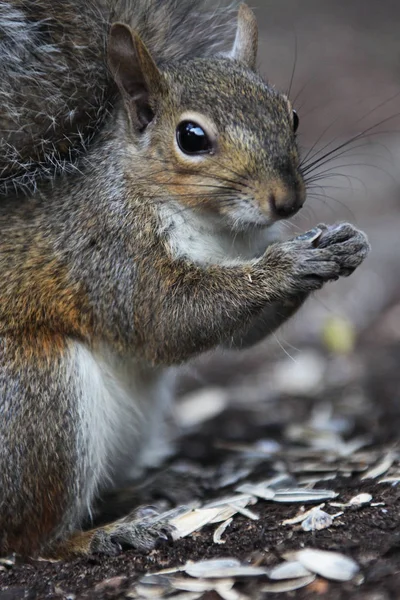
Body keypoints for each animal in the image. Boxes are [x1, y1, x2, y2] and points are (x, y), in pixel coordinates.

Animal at [0, 0, 370, 556]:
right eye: (191, 138)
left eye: (292, 115)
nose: (288, 202)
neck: (215, 229)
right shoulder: (110, 255)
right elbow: (166, 321)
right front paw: (289, 264)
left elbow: (239, 334)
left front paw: (339, 245)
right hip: (35, 398)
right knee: (30, 540)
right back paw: (101, 534)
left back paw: (149, 488)